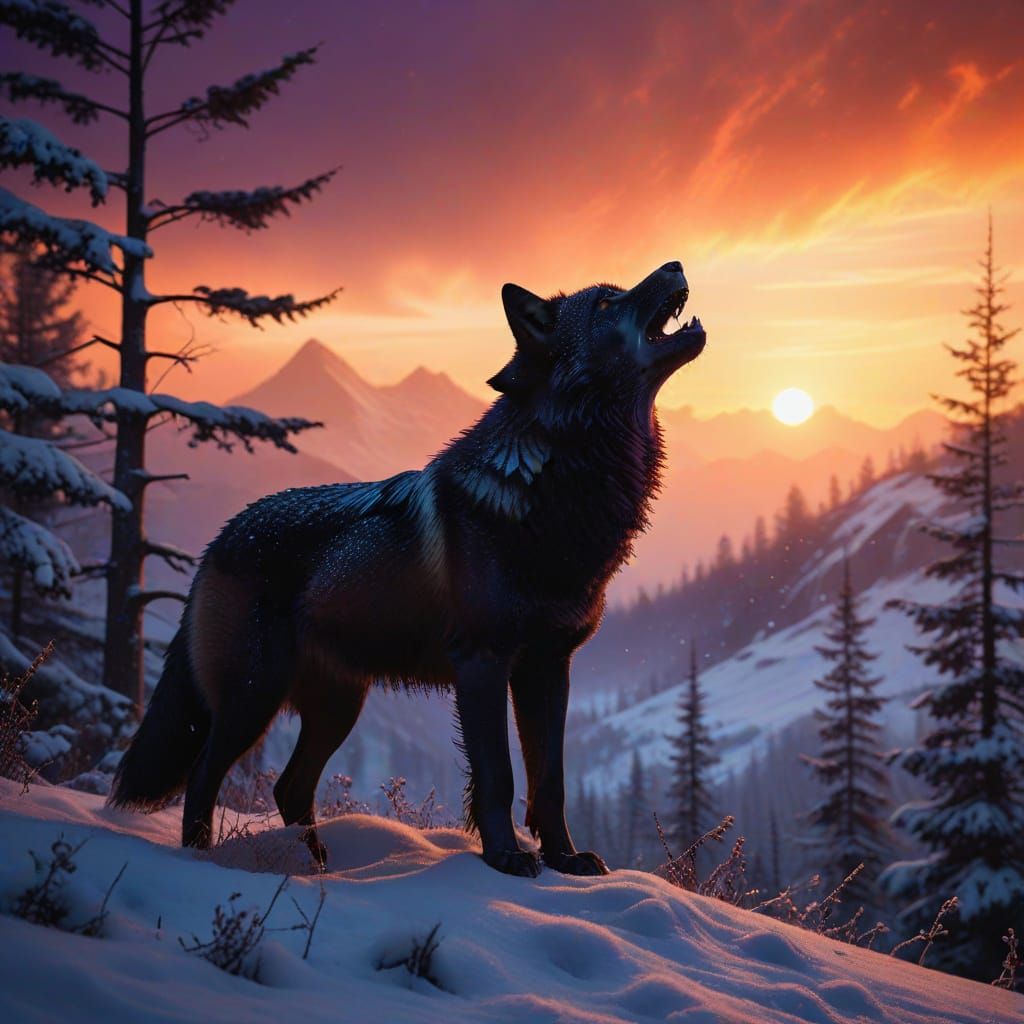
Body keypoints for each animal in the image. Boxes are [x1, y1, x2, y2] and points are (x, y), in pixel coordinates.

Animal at [109, 260, 706, 876]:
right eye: (607, 304)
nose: (675, 264)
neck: (561, 487)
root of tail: (219, 539)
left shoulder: (549, 667)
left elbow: (551, 780)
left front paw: (565, 859)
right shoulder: (482, 663)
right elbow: (498, 777)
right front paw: (505, 858)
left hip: (338, 706)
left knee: (289, 787)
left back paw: (317, 868)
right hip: (254, 697)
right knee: (205, 776)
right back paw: (205, 863)